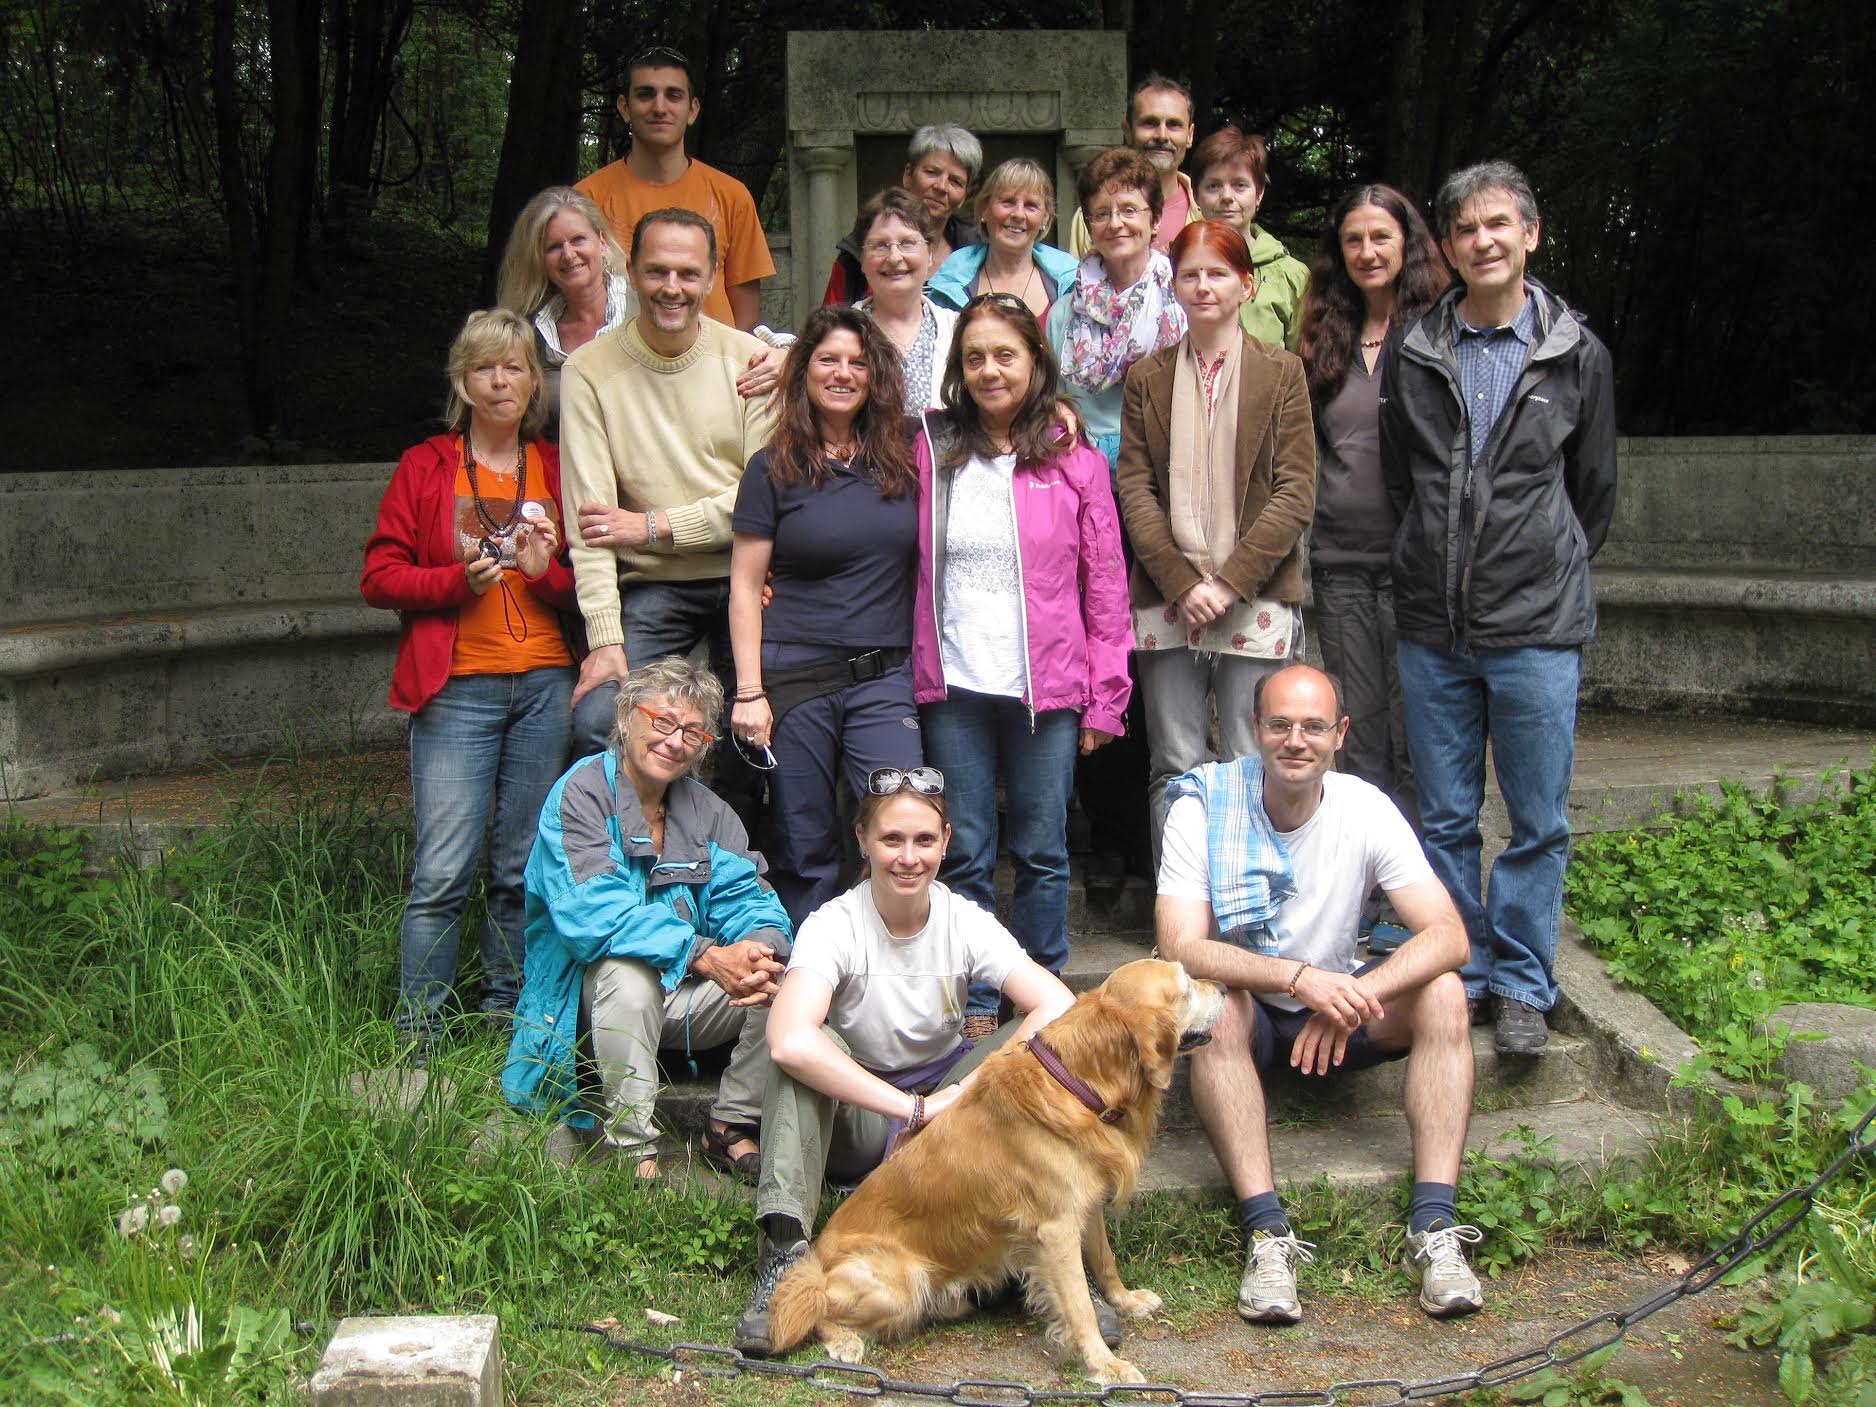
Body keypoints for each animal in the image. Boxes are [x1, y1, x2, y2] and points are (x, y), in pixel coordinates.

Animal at [765, 960, 1230, 1388]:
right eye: (1187, 987)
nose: (1226, 987)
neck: (1077, 1083)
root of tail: (817, 1261)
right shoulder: (1056, 1229)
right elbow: (1079, 1305)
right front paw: (1105, 1365)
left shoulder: (1087, 1204)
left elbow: (1105, 1260)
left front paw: (1126, 1301)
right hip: (900, 1280)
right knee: (816, 1307)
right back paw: (843, 1340)